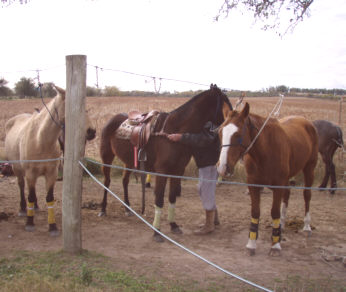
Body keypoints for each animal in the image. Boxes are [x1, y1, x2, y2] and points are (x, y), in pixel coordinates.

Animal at [4, 85, 96, 236]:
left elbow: (49, 198)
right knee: (22, 186)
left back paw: (35, 206)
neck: (40, 140)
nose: (92, 131)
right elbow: (29, 195)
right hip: (17, 169)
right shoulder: (30, 172)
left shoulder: (51, 174)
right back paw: (23, 209)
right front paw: (30, 223)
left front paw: (52, 226)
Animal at [98, 84, 232, 242]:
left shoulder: (177, 171)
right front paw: (157, 231)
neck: (174, 130)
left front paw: (173, 225)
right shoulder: (162, 171)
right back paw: (103, 209)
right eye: (226, 105)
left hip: (129, 162)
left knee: (125, 181)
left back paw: (127, 208)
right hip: (106, 157)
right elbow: (160, 199)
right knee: (106, 182)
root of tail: (112, 119)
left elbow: (172, 197)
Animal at [218, 102, 318, 256]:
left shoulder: (278, 185)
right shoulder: (253, 184)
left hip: (309, 169)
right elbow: (255, 212)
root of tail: (307, 122)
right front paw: (252, 243)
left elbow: (274, 211)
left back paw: (306, 225)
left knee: (307, 195)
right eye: (220, 132)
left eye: (237, 134)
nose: (223, 167)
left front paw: (275, 245)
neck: (265, 151)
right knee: (287, 194)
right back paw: (282, 224)